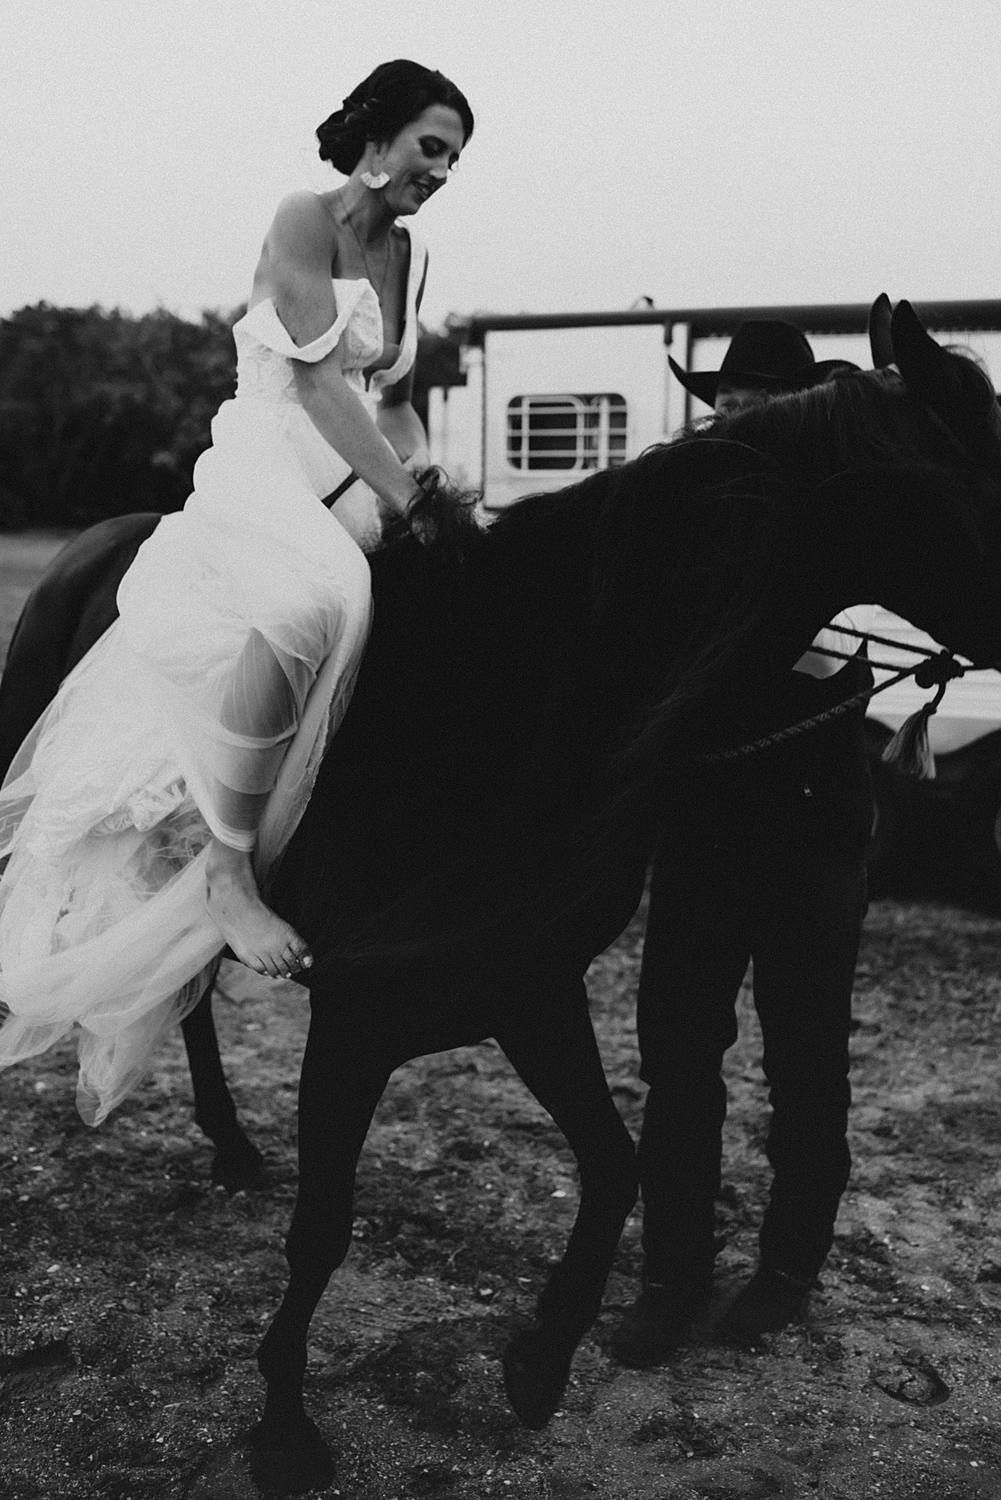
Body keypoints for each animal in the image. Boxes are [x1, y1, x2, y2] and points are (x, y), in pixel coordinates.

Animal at [1, 298, 1001, 1494]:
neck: (521, 691)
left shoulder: (527, 987)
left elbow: (614, 1170)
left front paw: (538, 1363)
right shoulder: (356, 1015)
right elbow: (323, 1228)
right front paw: (285, 1428)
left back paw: (233, 1147)